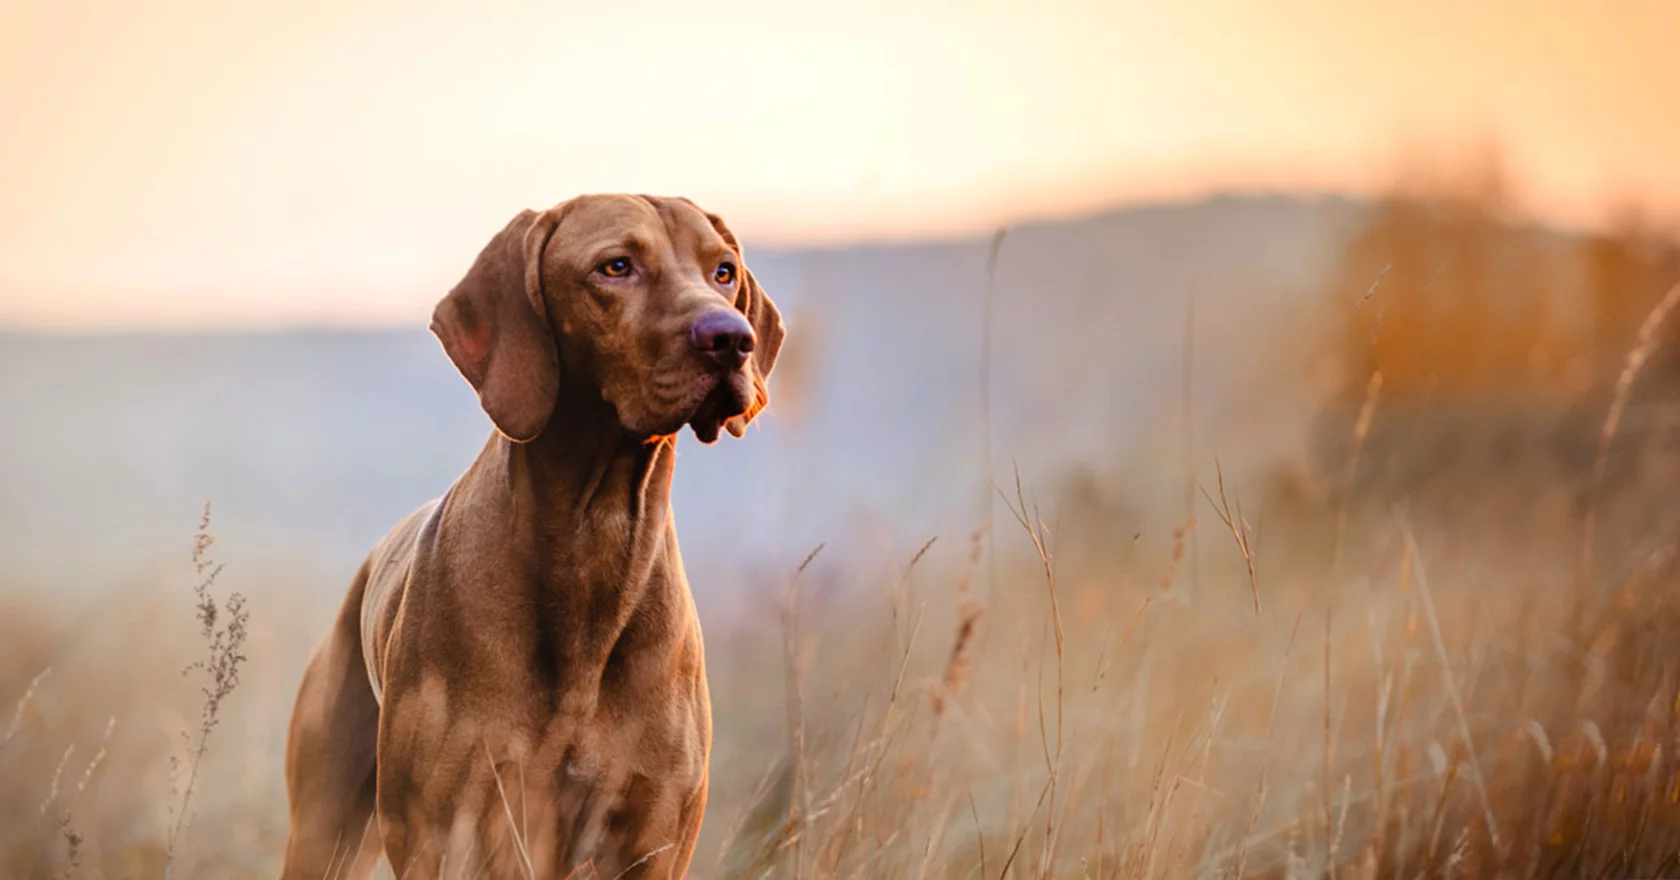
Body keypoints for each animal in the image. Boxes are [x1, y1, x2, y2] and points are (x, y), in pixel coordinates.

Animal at [282, 193, 786, 880]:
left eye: (724, 272)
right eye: (616, 266)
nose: (732, 339)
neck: (595, 538)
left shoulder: (653, 839)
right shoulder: (444, 833)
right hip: (323, 831)